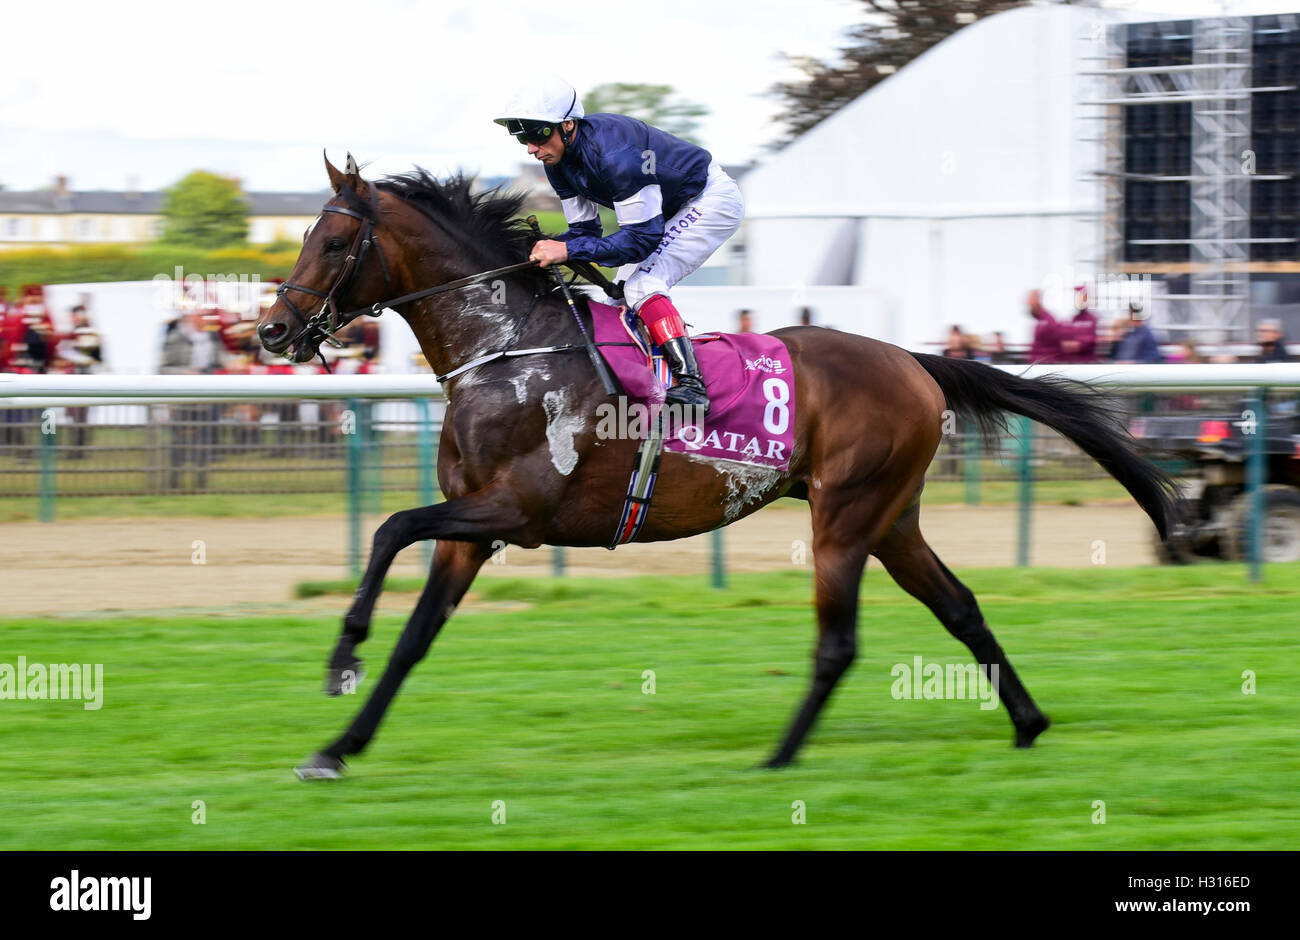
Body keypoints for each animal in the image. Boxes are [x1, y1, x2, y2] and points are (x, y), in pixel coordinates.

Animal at [256, 154, 1180, 780]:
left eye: (333, 240)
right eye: (303, 233)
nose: (270, 331)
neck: (509, 351)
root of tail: (916, 361)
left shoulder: (515, 511)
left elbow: (389, 527)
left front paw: (341, 659)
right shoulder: (473, 529)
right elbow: (416, 630)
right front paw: (338, 746)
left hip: (845, 514)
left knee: (838, 641)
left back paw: (778, 757)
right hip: (892, 518)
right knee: (960, 607)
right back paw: (1027, 722)